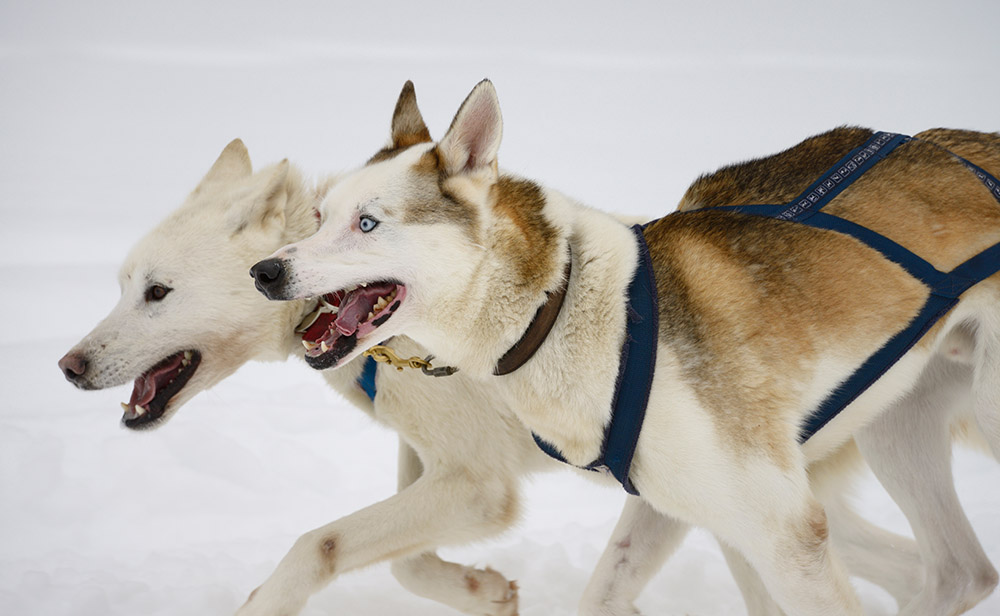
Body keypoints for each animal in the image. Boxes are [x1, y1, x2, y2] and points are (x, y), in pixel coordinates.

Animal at [256, 79, 1000, 612]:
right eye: (319, 216)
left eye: (368, 223)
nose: (265, 272)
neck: (567, 308)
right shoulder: (670, 505)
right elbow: (603, 592)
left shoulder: (787, 530)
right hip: (897, 430)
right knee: (960, 572)